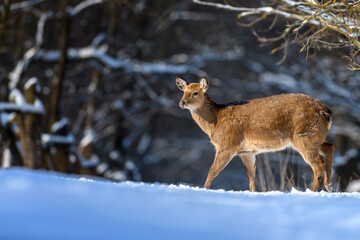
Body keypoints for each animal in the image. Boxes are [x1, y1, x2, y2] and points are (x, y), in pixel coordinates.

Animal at [176, 76, 336, 192]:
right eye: (183, 92)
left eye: (195, 93)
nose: (182, 103)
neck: (215, 122)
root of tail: (325, 111)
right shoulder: (247, 151)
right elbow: (251, 175)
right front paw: (253, 193)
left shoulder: (228, 144)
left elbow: (213, 170)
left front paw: (204, 189)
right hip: (315, 136)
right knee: (329, 147)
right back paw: (329, 187)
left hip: (304, 135)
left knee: (318, 163)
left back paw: (313, 191)